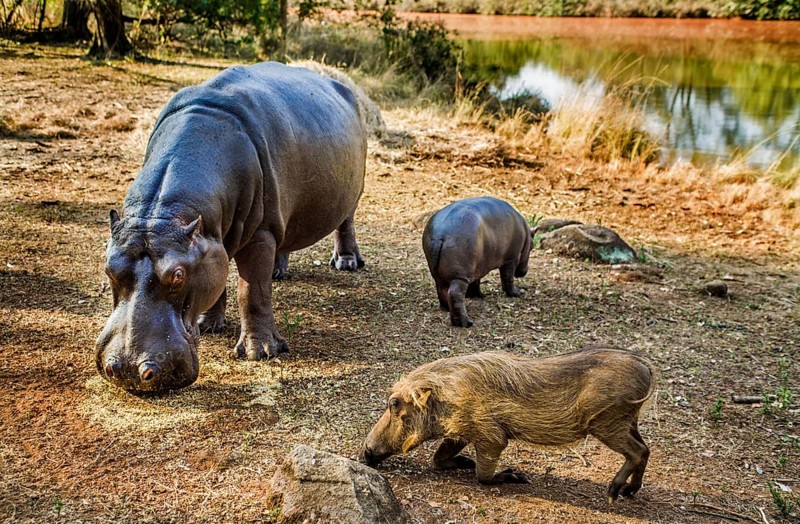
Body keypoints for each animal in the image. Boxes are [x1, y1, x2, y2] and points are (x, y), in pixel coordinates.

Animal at [96, 62, 366, 392]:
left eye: (177, 275)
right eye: (108, 268)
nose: (130, 372)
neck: (165, 214)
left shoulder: (260, 233)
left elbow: (252, 292)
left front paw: (259, 352)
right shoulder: (211, 239)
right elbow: (219, 279)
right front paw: (207, 325)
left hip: (351, 192)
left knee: (346, 223)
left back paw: (346, 263)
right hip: (282, 215)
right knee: (285, 239)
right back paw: (278, 272)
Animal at [422, 197, 533, 327]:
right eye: (532, 247)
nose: (524, 272)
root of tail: (439, 235)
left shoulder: (477, 266)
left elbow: (476, 282)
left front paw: (479, 296)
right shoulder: (512, 259)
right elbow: (508, 277)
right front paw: (517, 293)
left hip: (441, 274)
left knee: (442, 290)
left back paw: (446, 309)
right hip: (460, 275)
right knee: (455, 294)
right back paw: (466, 323)